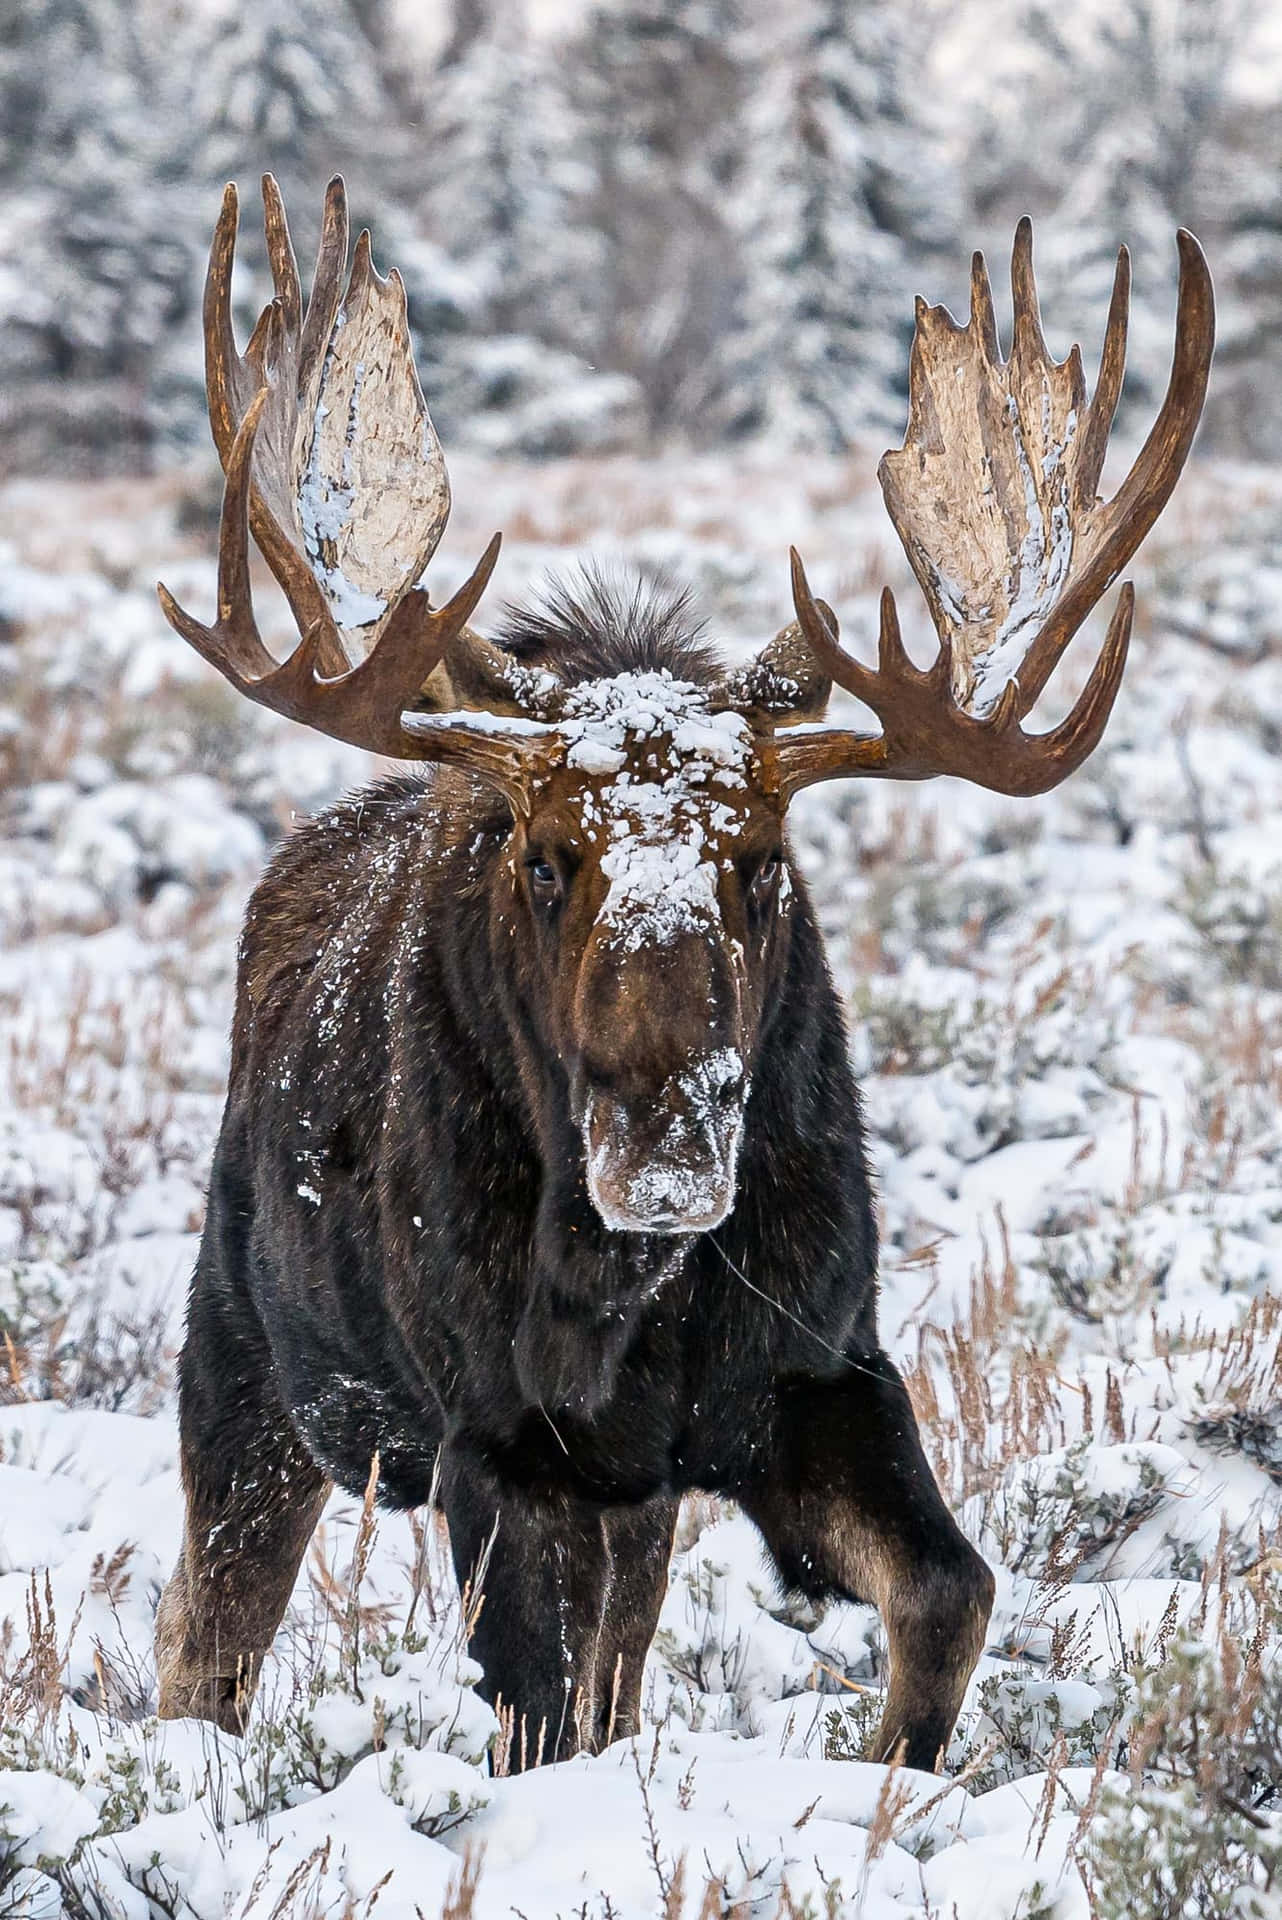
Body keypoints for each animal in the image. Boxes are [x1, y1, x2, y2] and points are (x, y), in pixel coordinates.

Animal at [153, 176, 1213, 1772]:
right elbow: (536, 1713)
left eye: (761, 858)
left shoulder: (815, 1369)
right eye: (544, 856)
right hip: (245, 1370)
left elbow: (949, 1592)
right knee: (200, 1637)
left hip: (623, 1494)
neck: (628, 1310)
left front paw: (894, 1779)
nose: (662, 1146)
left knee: (620, 1643)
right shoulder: (494, 1436)